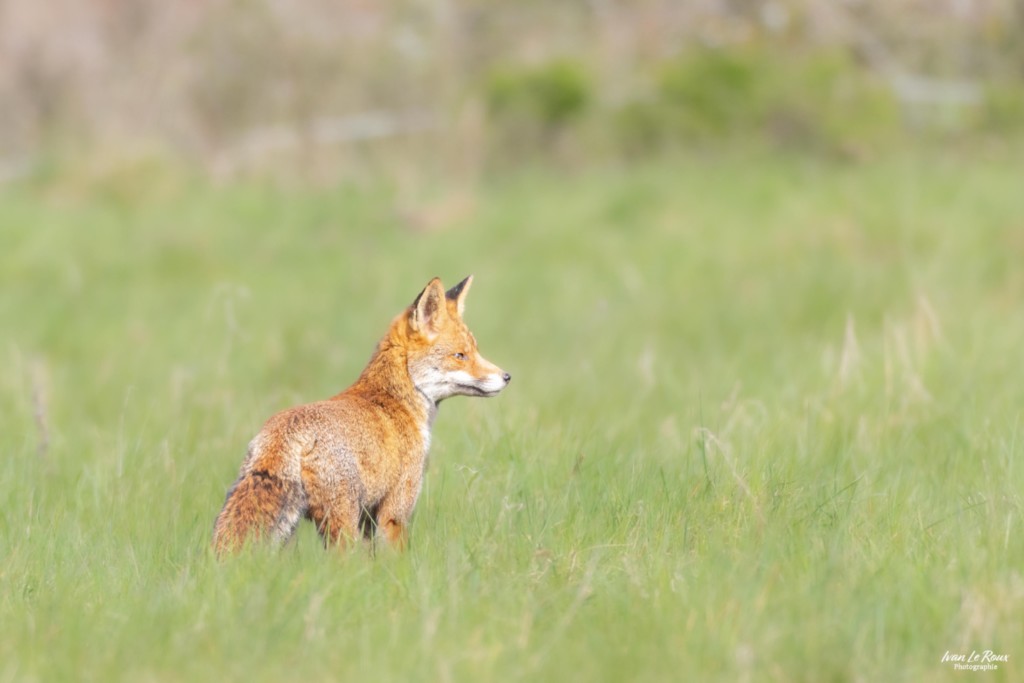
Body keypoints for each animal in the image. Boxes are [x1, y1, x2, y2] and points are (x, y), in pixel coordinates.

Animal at [212, 275, 510, 555]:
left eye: (475, 350)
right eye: (460, 355)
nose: (506, 377)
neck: (395, 400)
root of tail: (284, 431)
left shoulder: (369, 518)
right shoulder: (395, 510)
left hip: (288, 530)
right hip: (340, 523)